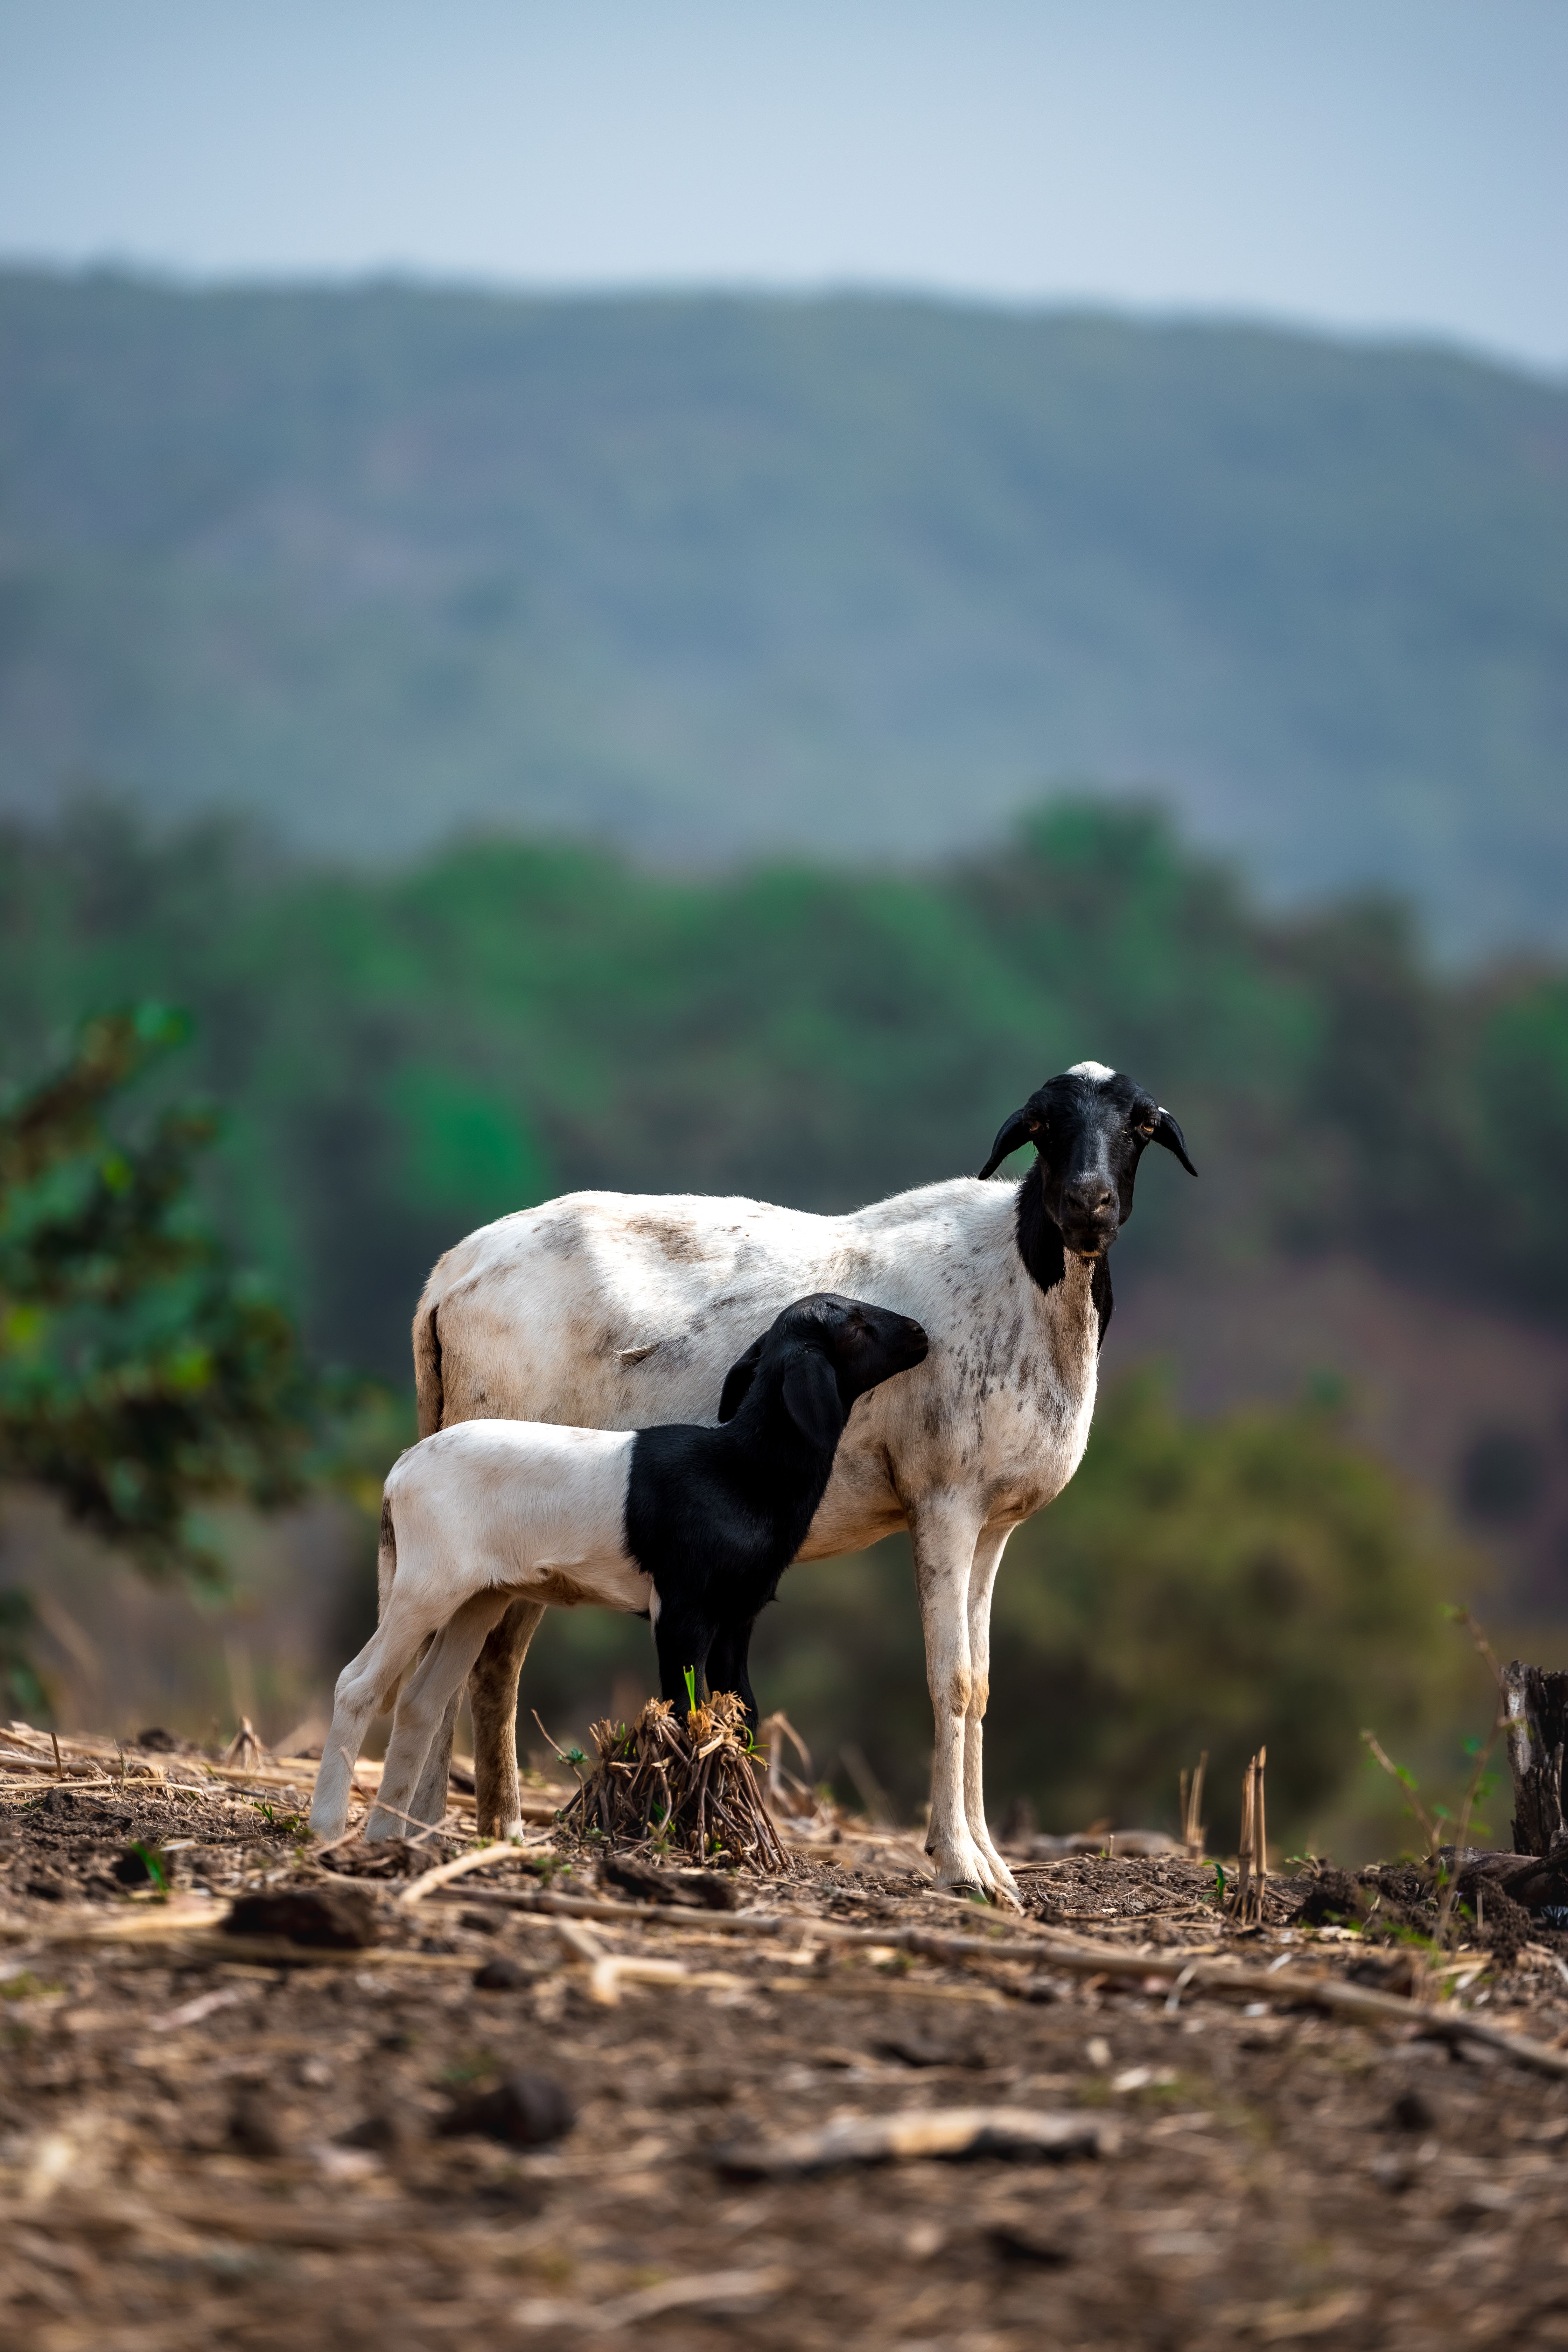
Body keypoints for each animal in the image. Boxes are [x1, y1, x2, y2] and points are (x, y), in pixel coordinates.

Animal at [307, 1294, 928, 1843]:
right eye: (854, 1325)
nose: (921, 1333)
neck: (741, 1469)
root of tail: (400, 1473)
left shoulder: (738, 1617)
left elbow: (743, 1714)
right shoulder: (681, 1612)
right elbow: (684, 1711)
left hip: (477, 1598)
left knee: (421, 1703)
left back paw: (387, 1836)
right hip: (425, 1585)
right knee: (358, 1685)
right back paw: (328, 1830)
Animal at [406, 1061, 1196, 1902]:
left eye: (1141, 1126)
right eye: (1043, 1127)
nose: (1088, 1204)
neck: (1025, 1283)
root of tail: (447, 1280)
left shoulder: (994, 1523)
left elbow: (981, 1684)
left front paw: (992, 1864)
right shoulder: (944, 1501)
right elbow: (949, 1679)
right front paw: (959, 1865)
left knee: (480, 1663)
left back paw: (469, 1829)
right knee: (474, 1663)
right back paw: (448, 1827)